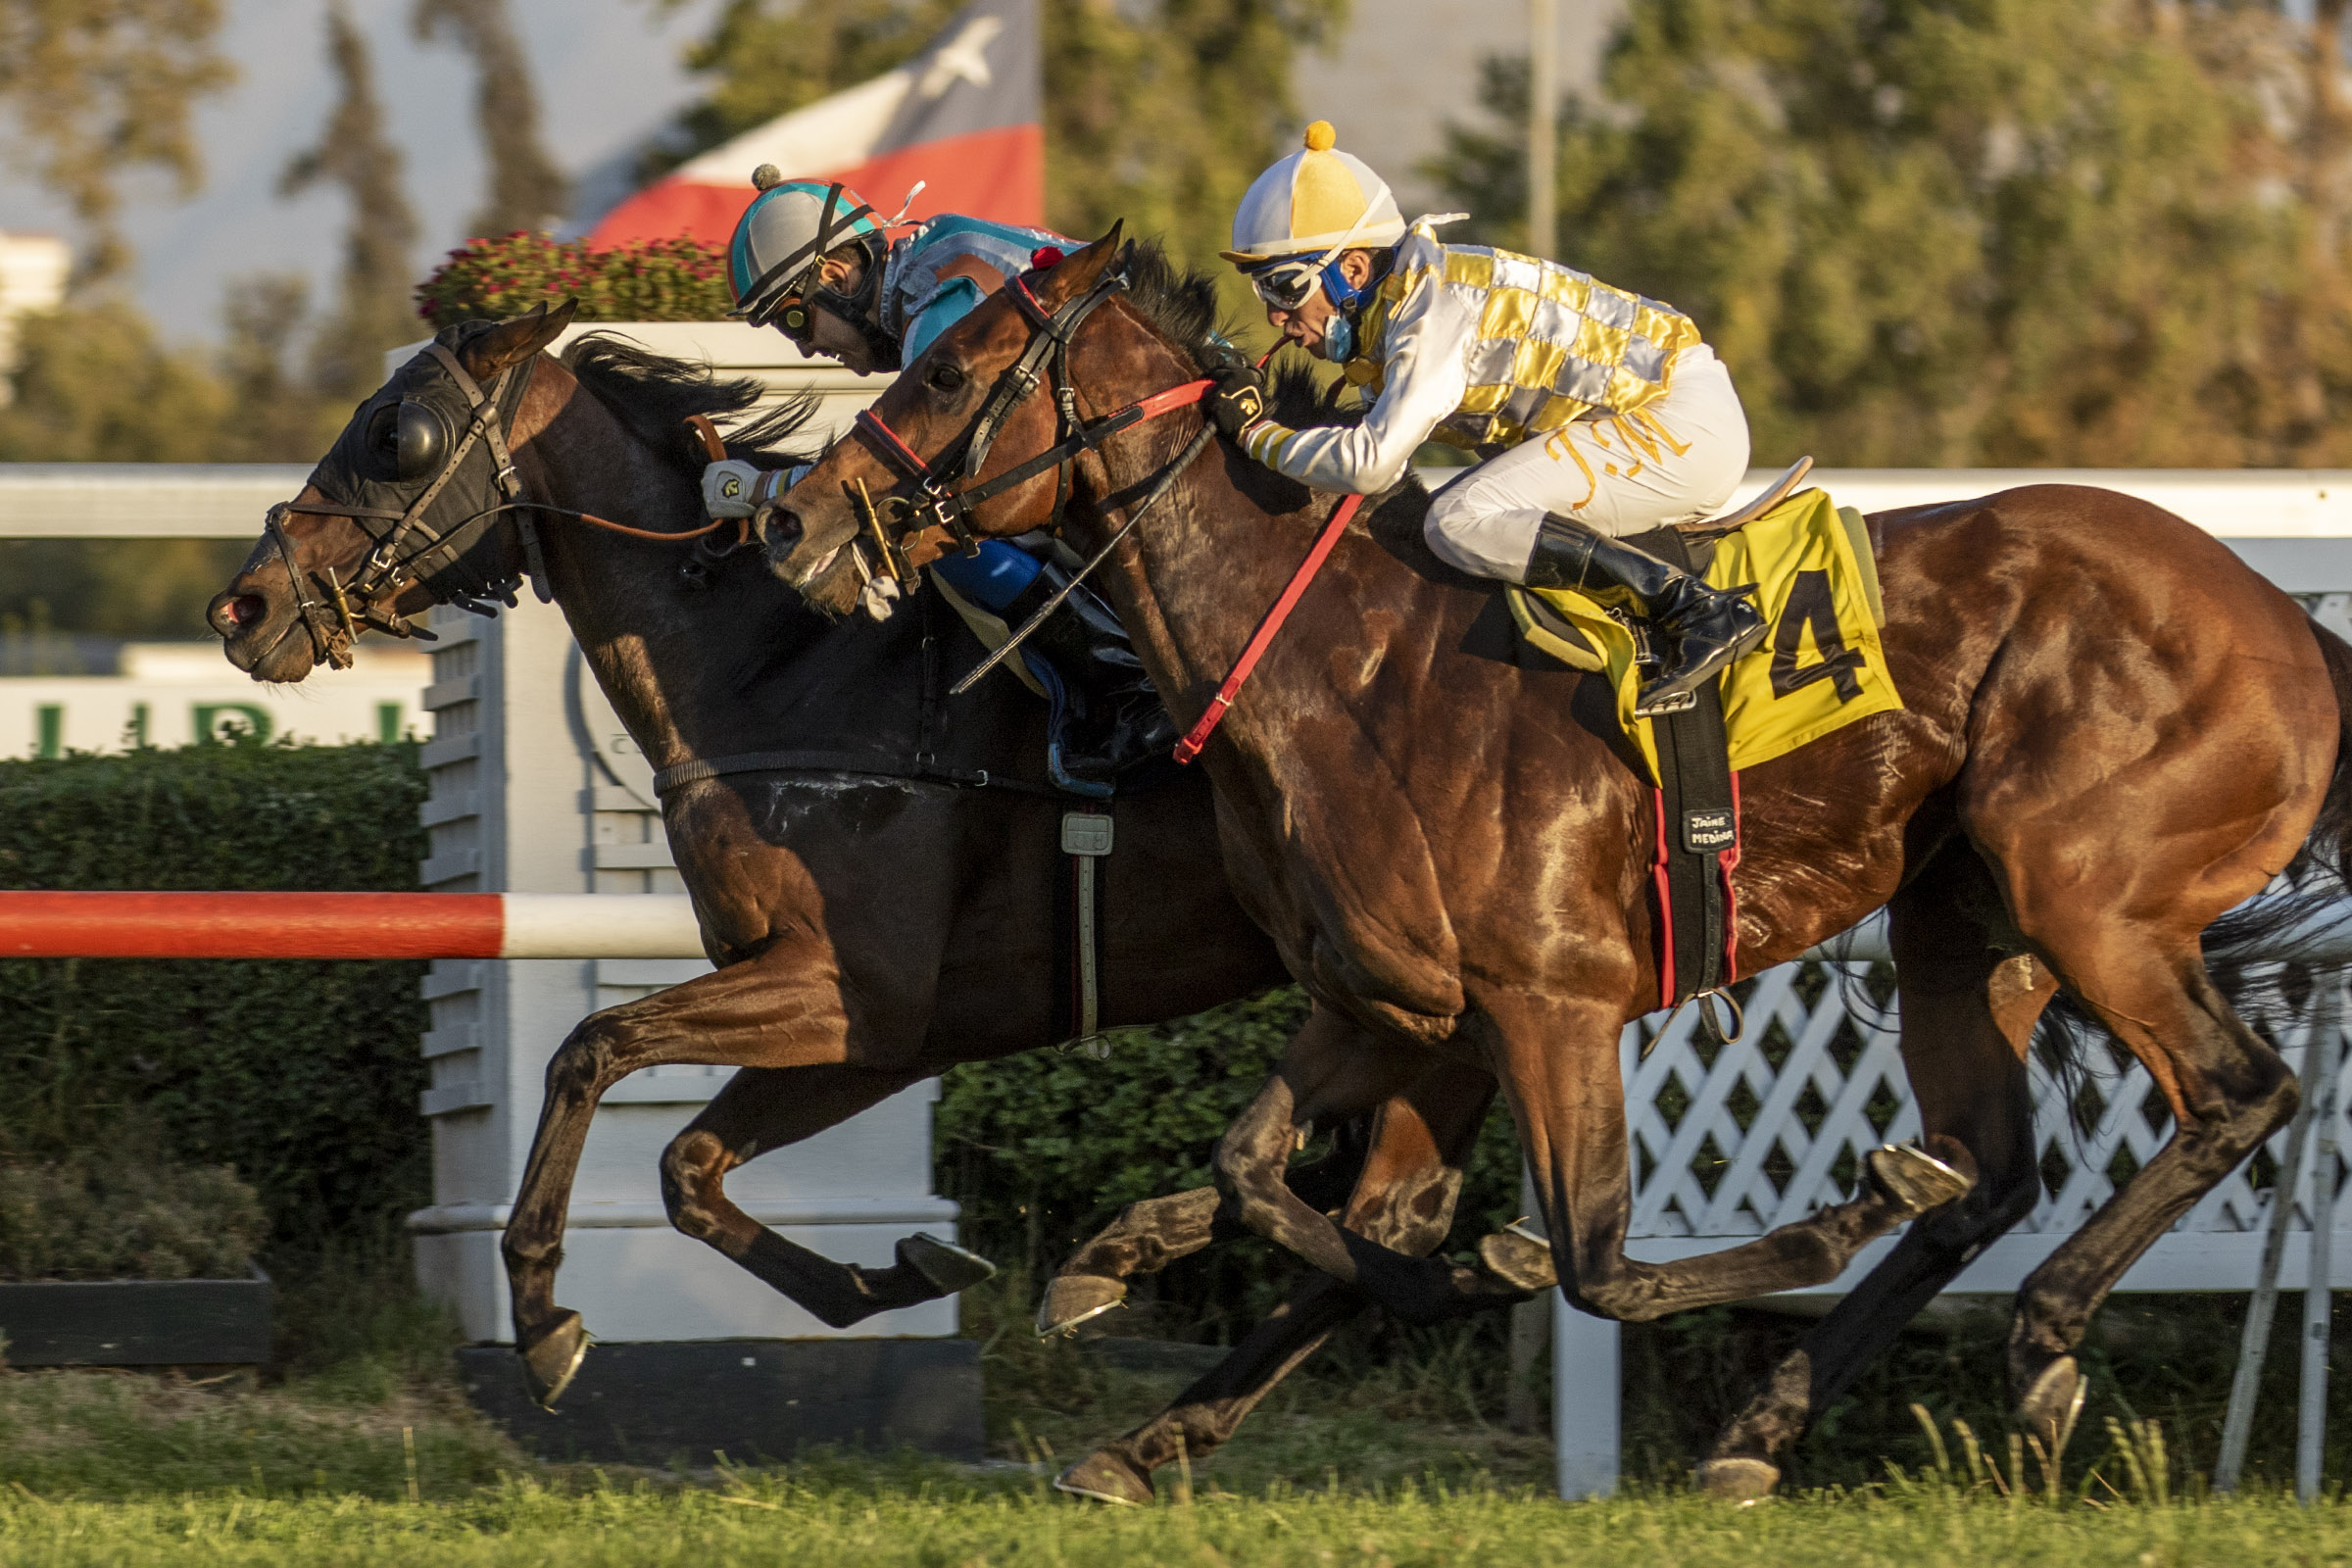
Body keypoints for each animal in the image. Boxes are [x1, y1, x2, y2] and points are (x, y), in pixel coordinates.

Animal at [201, 306, 1352, 1420]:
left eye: (395, 433)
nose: (240, 607)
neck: (786, 666)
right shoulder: (889, 1030)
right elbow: (687, 1168)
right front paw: (894, 1273)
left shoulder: (854, 989)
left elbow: (591, 1046)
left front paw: (540, 1316)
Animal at [767, 228, 2352, 1499]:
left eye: (944, 370)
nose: (791, 516)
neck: (1334, 661)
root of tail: (2285, 616)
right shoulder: (1395, 1005)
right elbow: (1266, 1177)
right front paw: (1130, 1329)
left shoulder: (1552, 1004)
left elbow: (1590, 1263)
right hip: (1964, 931)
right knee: (1992, 1174)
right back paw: (1762, 1430)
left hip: (2089, 893)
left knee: (2233, 1094)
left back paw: (2038, 1343)